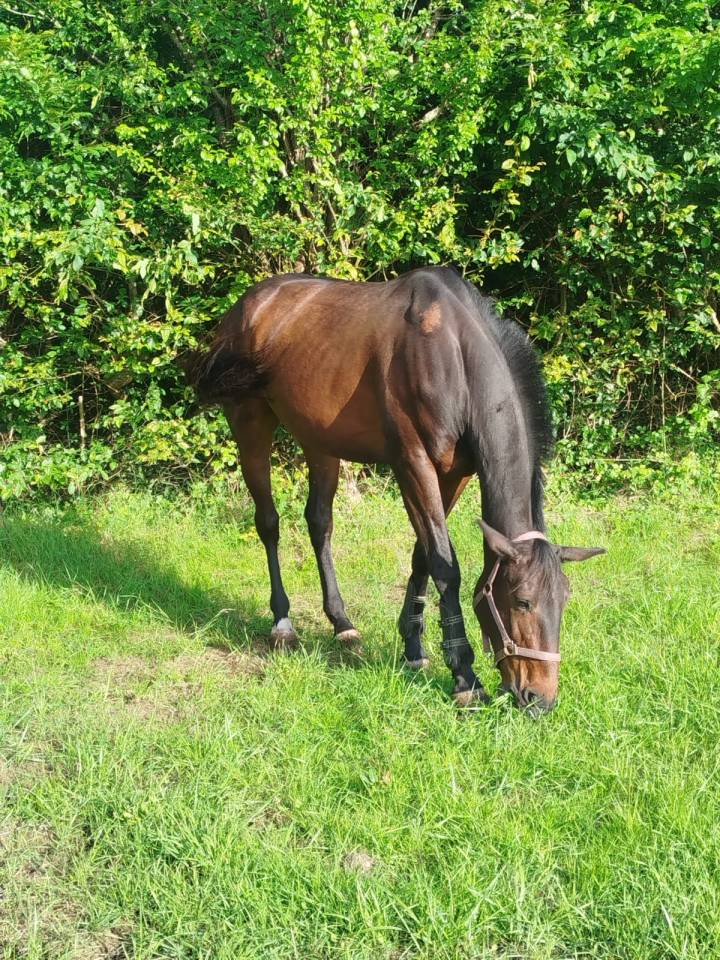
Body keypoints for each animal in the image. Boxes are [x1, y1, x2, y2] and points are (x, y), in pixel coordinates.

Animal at [188, 266, 605, 714]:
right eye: (523, 600)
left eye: (564, 599)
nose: (540, 699)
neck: (453, 355)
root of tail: (249, 304)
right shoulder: (413, 463)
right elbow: (444, 564)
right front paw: (464, 675)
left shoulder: (454, 474)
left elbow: (423, 555)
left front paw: (414, 648)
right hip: (250, 422)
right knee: (268, 522)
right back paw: (282, 623)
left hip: (320, 442)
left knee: (319, 523)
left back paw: (342, 624)